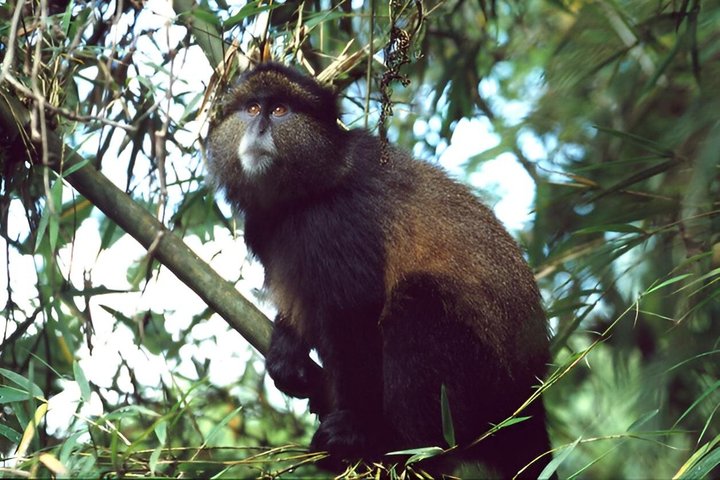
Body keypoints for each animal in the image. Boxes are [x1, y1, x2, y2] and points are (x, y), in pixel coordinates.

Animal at [205, 62, 553, 478]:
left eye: (280, 111)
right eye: (253, 108)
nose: (259, 129)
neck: (307, 188)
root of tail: (530, 393)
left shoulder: (335, 225)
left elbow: (355, 318)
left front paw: (358, 428)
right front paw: (287, 349)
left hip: (483, 382)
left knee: (418, 301)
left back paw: (397, 444)